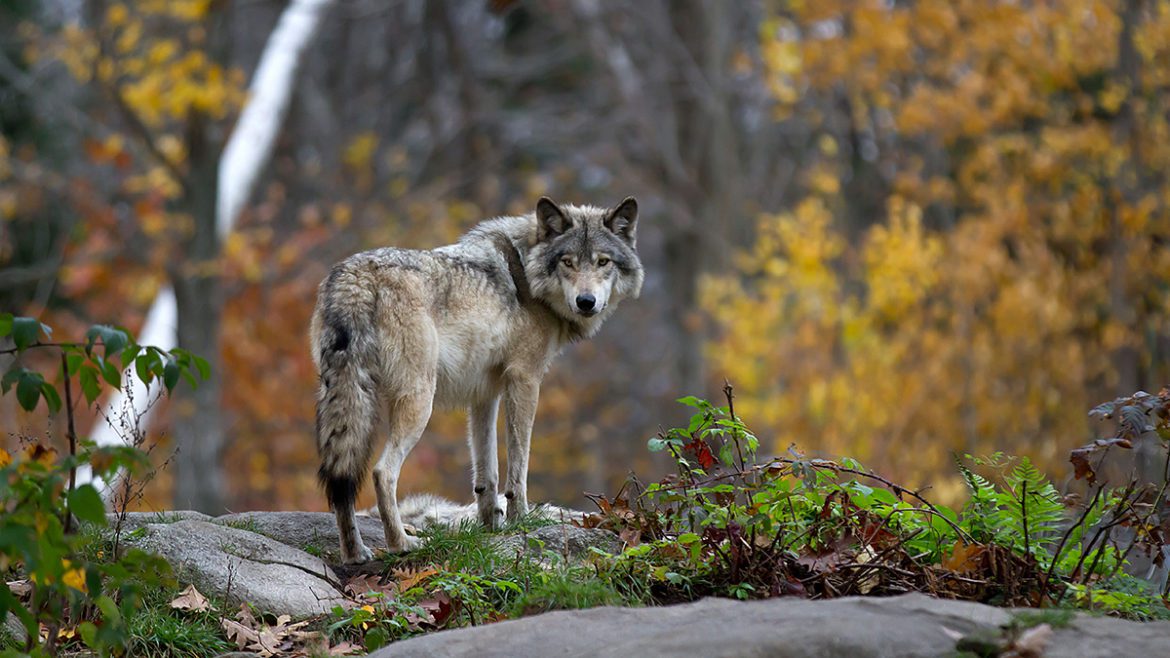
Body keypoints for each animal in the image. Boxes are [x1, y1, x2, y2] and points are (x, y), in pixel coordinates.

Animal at [311, 196, 643, 563]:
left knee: (341, 479)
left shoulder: (484, 394)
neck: (526, 272)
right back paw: (402, 544)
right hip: (419, 402)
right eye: (568, 262)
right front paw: (519, 521)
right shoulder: (525, 380)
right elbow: (518, 466)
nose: (586, 302)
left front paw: (490, 527)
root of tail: (355, 276)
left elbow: (487, 473)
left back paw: (355, 553)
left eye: (603, 262)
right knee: (383, 472)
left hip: (346, 399)